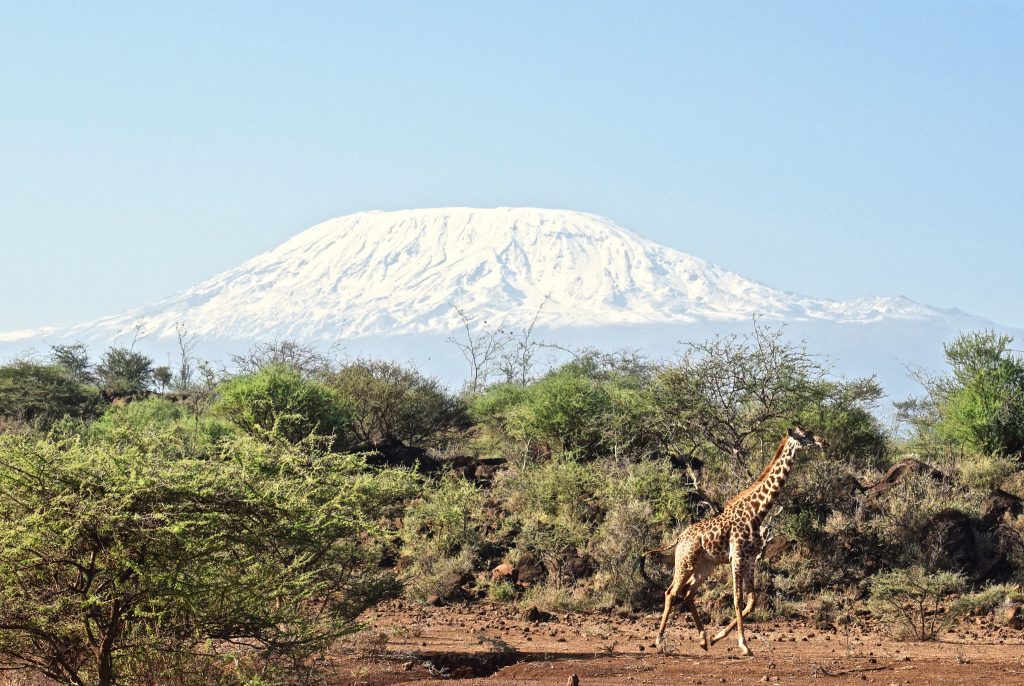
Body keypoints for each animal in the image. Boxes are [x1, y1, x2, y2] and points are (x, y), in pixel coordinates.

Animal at [651, 423, 827, 655]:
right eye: (806, 435)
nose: (824, 442)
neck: (757, 513)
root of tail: (680, 537)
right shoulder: (737, 557)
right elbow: (737, 599)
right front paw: (744, 645)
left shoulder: (751, 559)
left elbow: (751, 601)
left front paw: (717, 637)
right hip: (685, 561)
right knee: (671, 592)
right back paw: (659, 641)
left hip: (706, 565)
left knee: (688, 593)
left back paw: (703, 639)